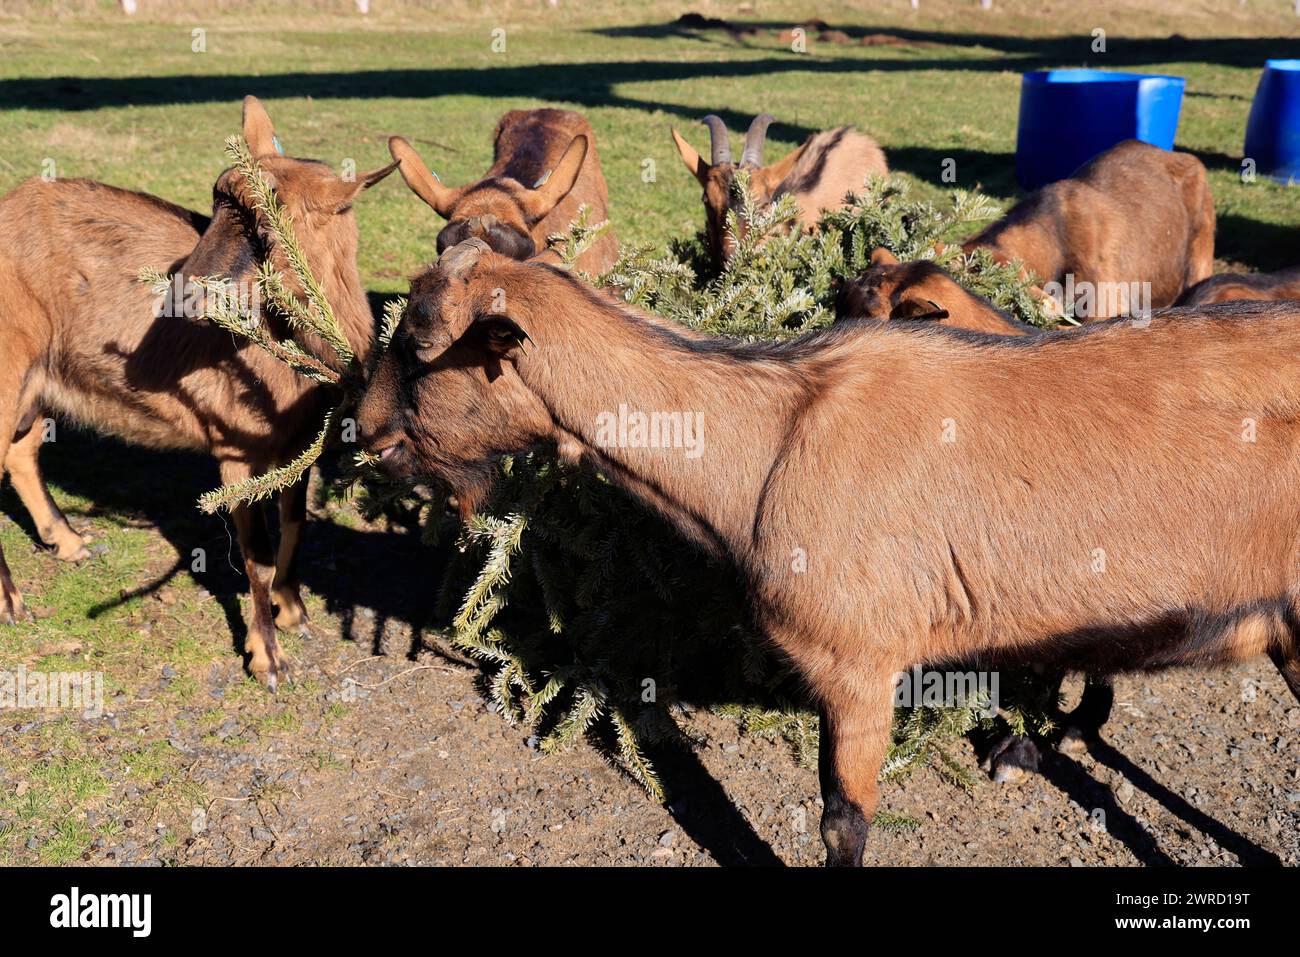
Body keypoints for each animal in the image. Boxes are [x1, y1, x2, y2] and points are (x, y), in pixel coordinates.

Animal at [0, 96, 396, 689]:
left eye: (268, 223)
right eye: (215, 204)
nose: (181, 294)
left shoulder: (300, 446)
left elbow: (295, 525)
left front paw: (293, 609)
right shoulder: (235, 453)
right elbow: (256, 557)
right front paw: (268, 657)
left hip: (40, 380)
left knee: (21, 453)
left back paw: (69, 543)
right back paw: (13, 603)